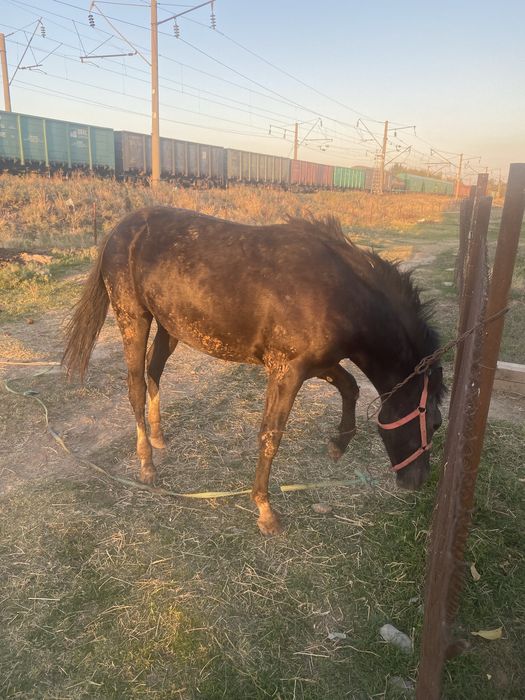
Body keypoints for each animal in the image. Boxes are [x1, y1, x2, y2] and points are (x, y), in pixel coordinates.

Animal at [63, 207, 445, 535]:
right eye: (435, 423)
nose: (416, 482)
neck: (338, 292)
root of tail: (121, 228)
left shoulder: (317, 364)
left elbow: (350, 387)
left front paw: (338, 445)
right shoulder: (287, 371)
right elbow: (271, 435)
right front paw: (265, 511)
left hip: (170, 326)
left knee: (154, 373)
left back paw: (158, 438)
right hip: (133, 318)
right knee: (136, 387)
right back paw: (147, 465)